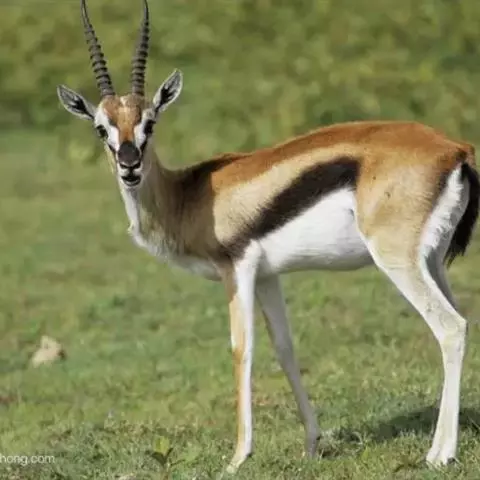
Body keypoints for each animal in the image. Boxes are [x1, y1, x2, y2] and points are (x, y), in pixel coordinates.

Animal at [57, 0, 479, 474]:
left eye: (150, 121)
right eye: (101, 127)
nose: (129, 164)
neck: (188, 196)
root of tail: (455, 150)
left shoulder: (236, 268)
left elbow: (242, 349)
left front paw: (237, 457)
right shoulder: (268, 277)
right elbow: (285, 348)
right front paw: (313, 444)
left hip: (397, 260)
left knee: (450, 328)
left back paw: (439, 454)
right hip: (432, 262)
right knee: (463, 324)